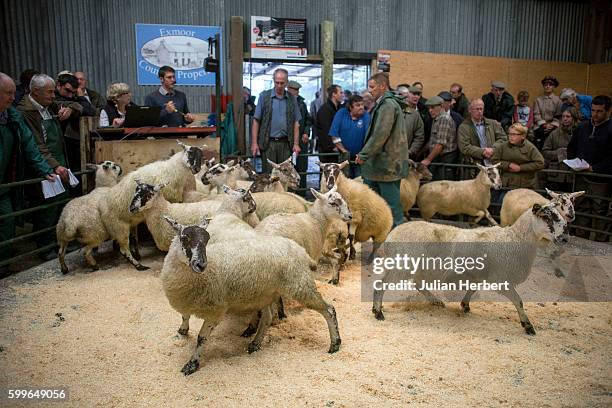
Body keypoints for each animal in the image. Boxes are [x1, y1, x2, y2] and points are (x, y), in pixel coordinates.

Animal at [98, 140, 203, 270]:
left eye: (201, 155)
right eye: (190, 153)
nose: (197, 169)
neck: (178, 168)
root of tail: (100, 207)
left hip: (127, 223)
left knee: (132, 239)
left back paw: (137, 256)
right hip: (118, 226)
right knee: (124, 249)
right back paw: (139, 266)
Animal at [161, 217, 344, 376]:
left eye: (207, 240)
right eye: (184, 237)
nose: (201, 264)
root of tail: (301, 250)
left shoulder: (216, 311)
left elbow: (201, 338)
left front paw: (192, 364)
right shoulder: (184, 299)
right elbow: (184, 316)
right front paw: (182, 331)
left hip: (300, 285)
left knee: (329, 310)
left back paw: (335, 344)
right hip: (268, 292)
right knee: (268, 317)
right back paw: (255, 344)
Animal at [370, 204, 572, 334]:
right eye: (547, 217)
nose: (564, 239)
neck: (515, 239)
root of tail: (391, 235)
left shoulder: (480, 275)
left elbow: (472, 289)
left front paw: (465, 305)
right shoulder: (502, 280)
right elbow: (519, 301)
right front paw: (527, 325)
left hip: (420, 268)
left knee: (418, 284)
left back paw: (435, 301)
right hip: (403, 265)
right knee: (381, 285)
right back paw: (378, 312)